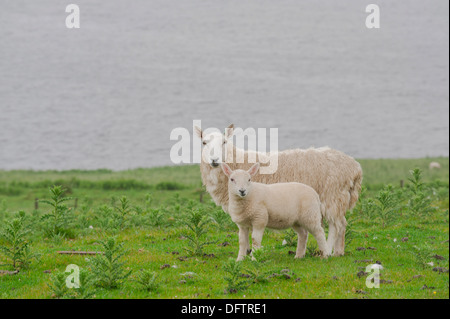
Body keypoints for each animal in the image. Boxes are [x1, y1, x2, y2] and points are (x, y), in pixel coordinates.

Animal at [195, 125, 364, 258]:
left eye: (224, 142)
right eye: (204, 143)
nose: (214, 160)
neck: (238, 162)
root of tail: (355, 167)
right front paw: (246, 252)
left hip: (332, 196)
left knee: (336, 226)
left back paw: (328, 250)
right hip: (337, 199)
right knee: (342, 224)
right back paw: (338, 251)